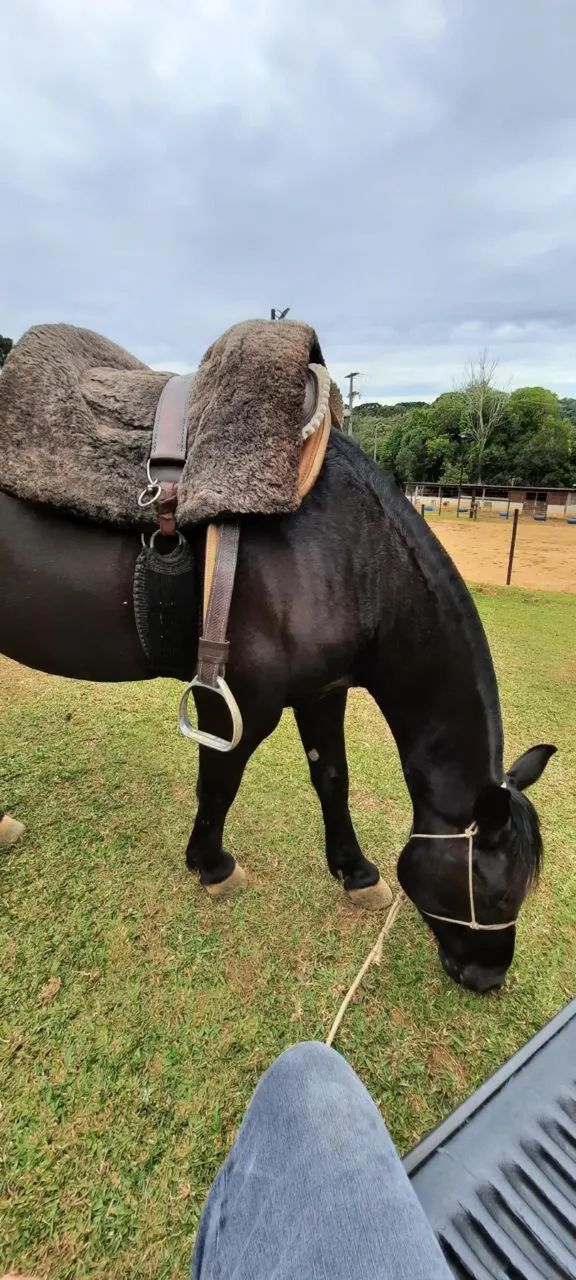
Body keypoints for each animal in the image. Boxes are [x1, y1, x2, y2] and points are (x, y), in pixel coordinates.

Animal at [0, 432, 555, 992]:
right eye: (495, 895)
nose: (488, 979)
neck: (355, 555)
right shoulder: (235, 704)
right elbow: (219, 785)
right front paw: (212, 867)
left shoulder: (323, 692)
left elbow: (332, 778)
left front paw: (355, 873)